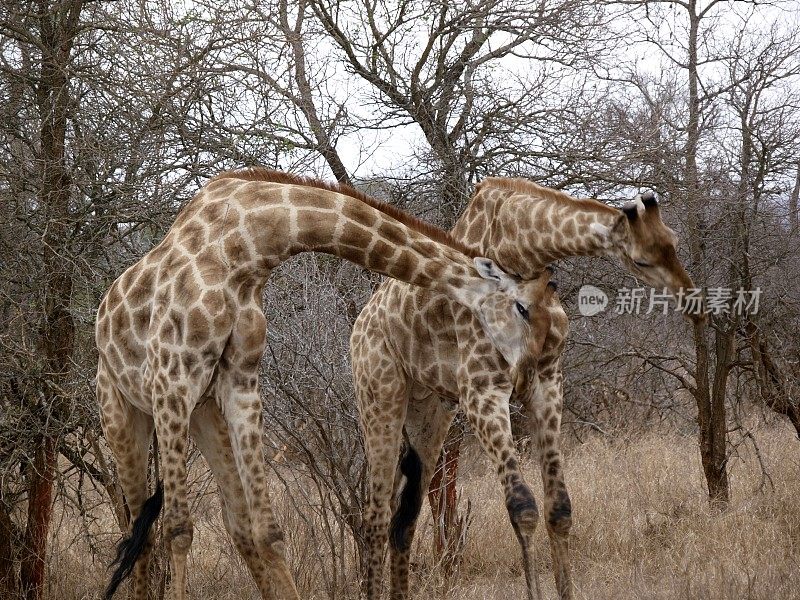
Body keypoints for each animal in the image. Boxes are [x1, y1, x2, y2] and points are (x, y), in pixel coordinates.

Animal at [92, 168, 552, 600]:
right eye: (522, 308)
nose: (526, 374)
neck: (245, 246)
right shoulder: (172, 378)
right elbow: (178, 530)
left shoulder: (240, 380)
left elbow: (268, 530)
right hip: (122, 411)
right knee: (139, 530)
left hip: (204, 414)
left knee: (230, 523)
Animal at [346, 178, 696, 600]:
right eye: (641, 261)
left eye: (674, 240)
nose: (689, 295)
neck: (521, 252)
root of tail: (362, 321)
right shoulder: (482, 390)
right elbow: (522, 507)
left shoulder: (547, 382)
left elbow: (559, 507)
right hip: (379, 393)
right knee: (376, 515)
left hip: (430, 410)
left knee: (404, 518)